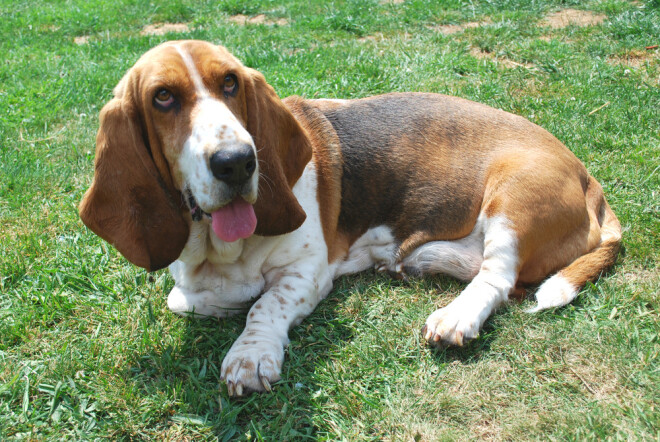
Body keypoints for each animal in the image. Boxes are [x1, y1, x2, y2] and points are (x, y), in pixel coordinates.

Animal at [79, 40, 621, 396]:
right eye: (163, 97)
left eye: (230, 83)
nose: (236, 162)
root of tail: (586, 175)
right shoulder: (189, 285)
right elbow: (187, 299)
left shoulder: (307, 273)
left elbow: (264, 306)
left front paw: (250, 355)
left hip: (513, 195)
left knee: (499, 278)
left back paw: (456, 316)